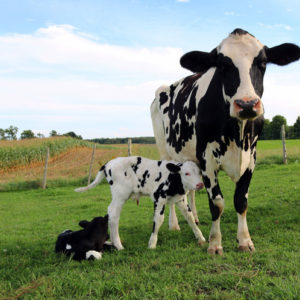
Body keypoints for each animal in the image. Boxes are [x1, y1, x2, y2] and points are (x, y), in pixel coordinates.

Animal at [75, 156, 206, 250]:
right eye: (186, 173)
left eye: (199, 172)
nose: (200, 184)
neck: (173, 179)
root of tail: (108, 164)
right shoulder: (159, 198)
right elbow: (158, 219)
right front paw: (152, 244)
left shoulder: (180, 199)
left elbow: (190, 217)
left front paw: (200, 237)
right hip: (120, 194)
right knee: (113, 214)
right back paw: (118, 245)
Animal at [152, 28, 300, 254]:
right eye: (222, 65)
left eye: (263, 63)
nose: (247, 104)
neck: (236, 134)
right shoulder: (207, 159)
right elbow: (217, 203)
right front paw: (214, 243)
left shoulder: (251, 157)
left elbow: (241, 201)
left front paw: (245, 241)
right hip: (165, 152)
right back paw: (174, 224)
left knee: (191, 191)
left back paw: (195, 217)